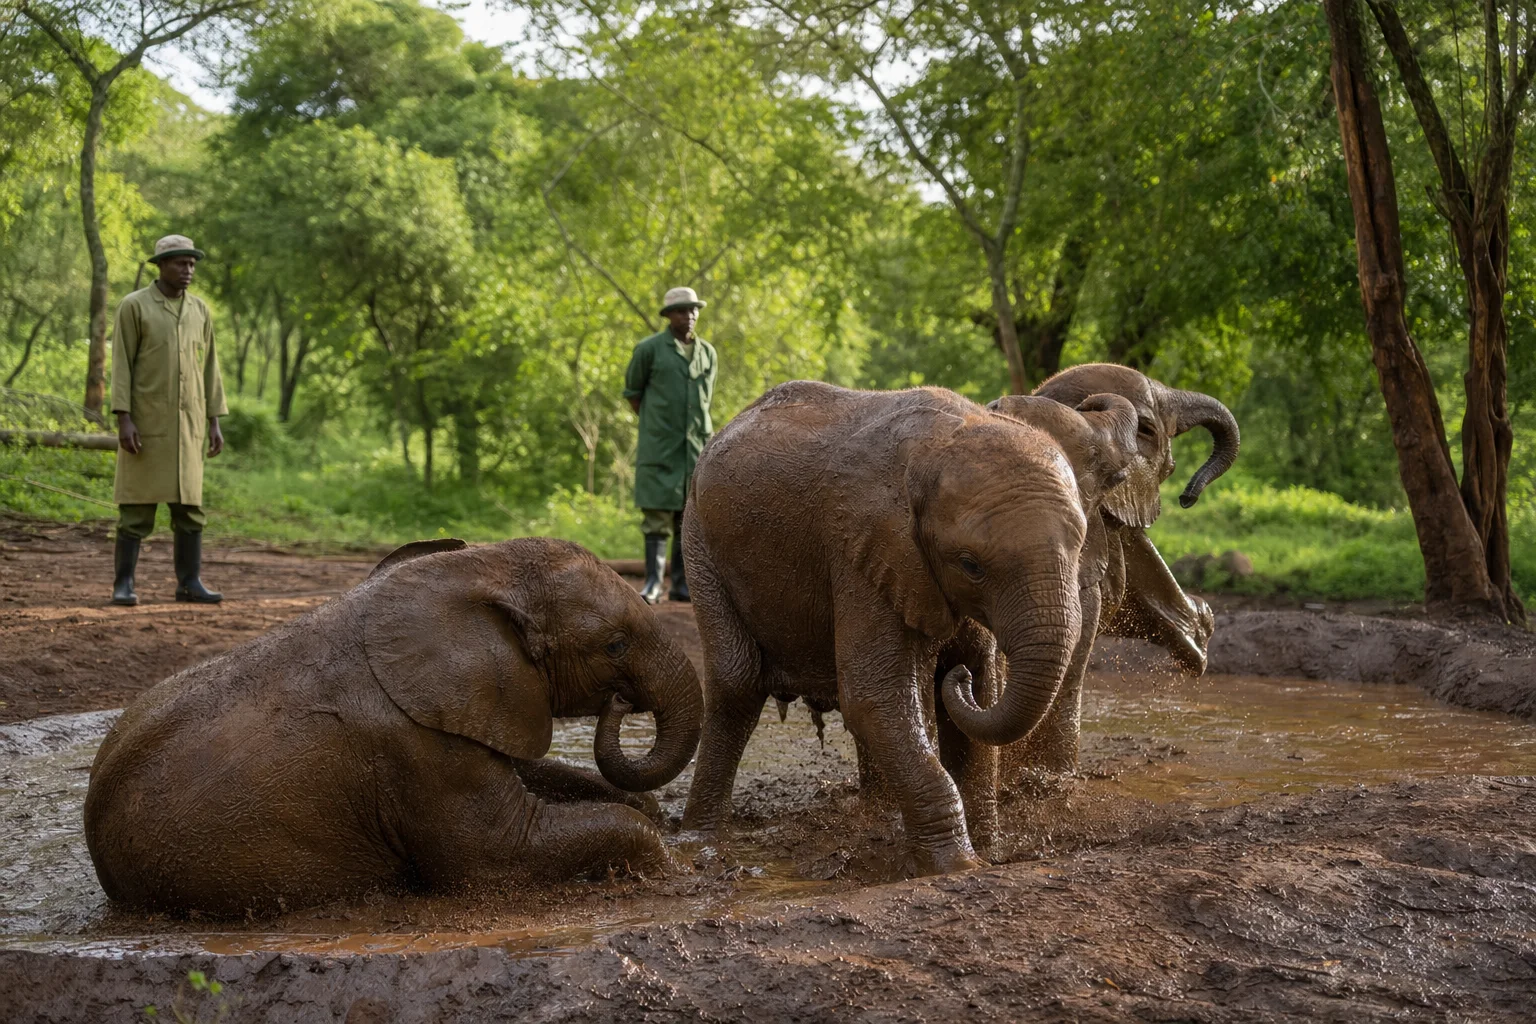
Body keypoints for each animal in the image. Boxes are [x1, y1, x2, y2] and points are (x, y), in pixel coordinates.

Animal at [84, 537, 703, 917]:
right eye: (615, 646)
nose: (621, 702)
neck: (481, 571)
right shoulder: (413, 748)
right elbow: (498, 857)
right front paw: (683, 869)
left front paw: (662, 821)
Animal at [678, 381, 1135, 875]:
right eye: (971, 564)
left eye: (1079, 546)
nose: (957, 680)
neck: (943, 441)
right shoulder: (863, 548)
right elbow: (875, 696)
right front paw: (957, 865)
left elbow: (981, 687)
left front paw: (989, 850)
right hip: (697, 540)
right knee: (737, 684)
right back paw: (699, 841)